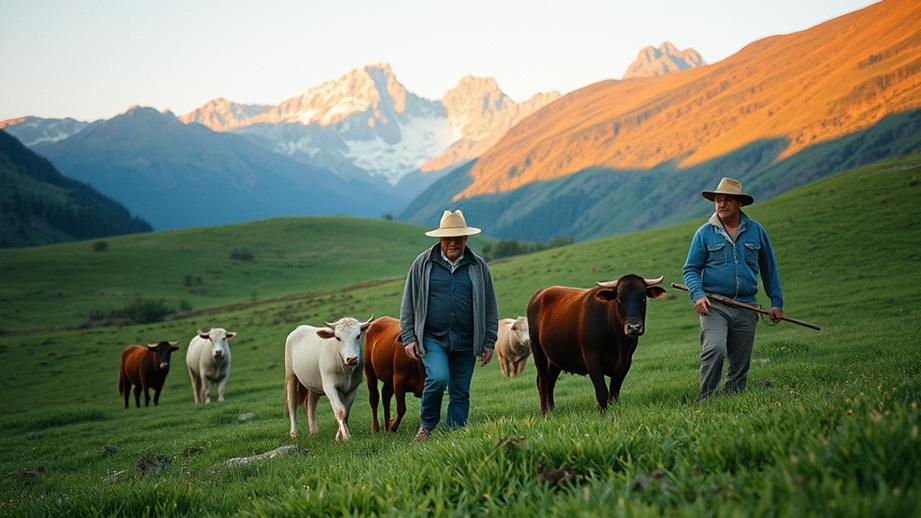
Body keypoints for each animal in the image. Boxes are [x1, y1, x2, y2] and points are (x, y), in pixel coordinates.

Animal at [528, 276, 664, 414]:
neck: (617, 341)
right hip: (538, 351)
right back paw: (545, 411)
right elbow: (602, 391)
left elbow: (614, 393)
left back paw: (552, 409)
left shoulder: (625, 362)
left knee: (550, 381)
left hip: (555, 358)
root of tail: (540, 294)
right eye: (619, 299)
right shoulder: (592, 359)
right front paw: (603, 413)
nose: (634, 327)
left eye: (643, 298)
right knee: (542, 381)